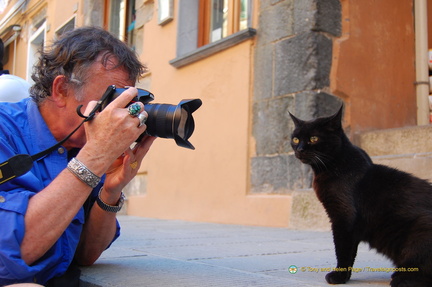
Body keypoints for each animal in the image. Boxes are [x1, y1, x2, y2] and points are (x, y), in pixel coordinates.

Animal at [288, 106, 432, 287]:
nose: (299, 149)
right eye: (295, 139)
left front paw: (338, 276)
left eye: (314, 138)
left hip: (421, 228)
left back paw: (401, 278)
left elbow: (342, 249)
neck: (333, 165)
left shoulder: (344, 216)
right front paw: (345, 277)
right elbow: (351, 252)